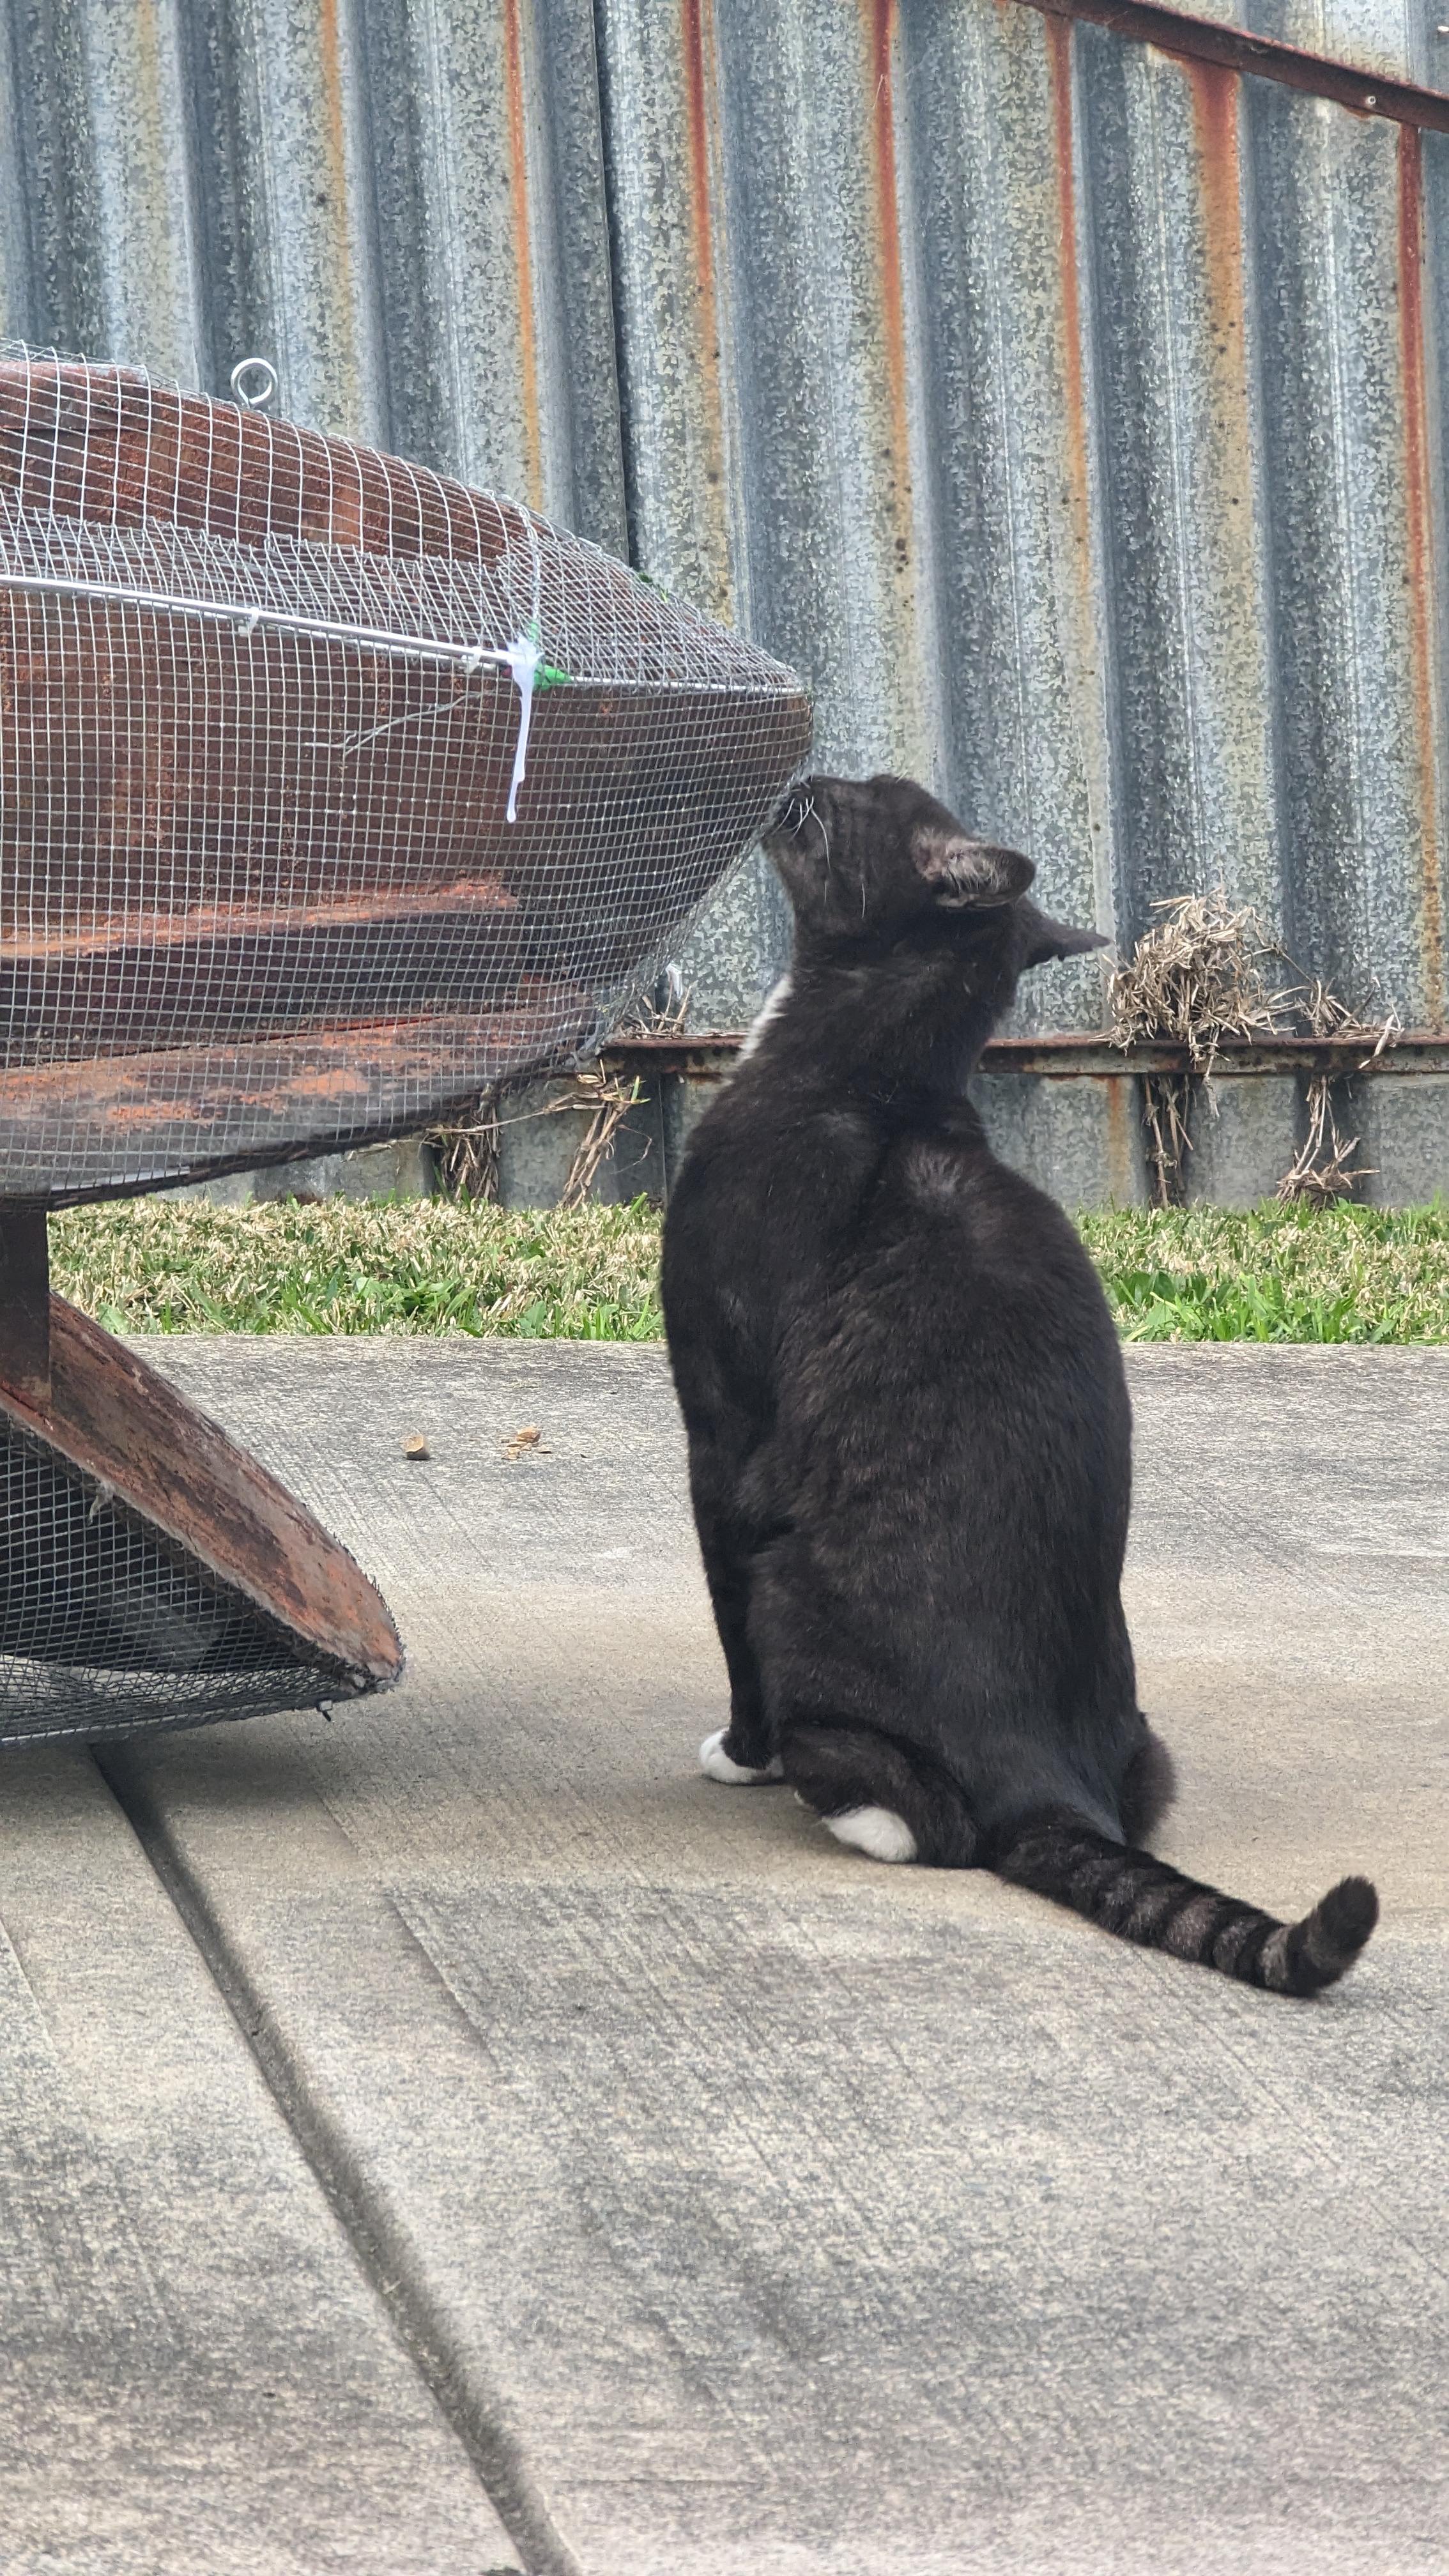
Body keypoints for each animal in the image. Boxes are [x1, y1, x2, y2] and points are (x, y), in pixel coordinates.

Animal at [661, 772, 1377, 1997]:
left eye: (858, 802)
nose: (805, 778)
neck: (859, 1069)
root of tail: (1052, 1784)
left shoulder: (721, 1432)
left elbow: (723, 1615)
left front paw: (737, 1755)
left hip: (793, 1592)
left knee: (933, 1821)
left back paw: (834, 1798)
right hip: (1148, 1748)